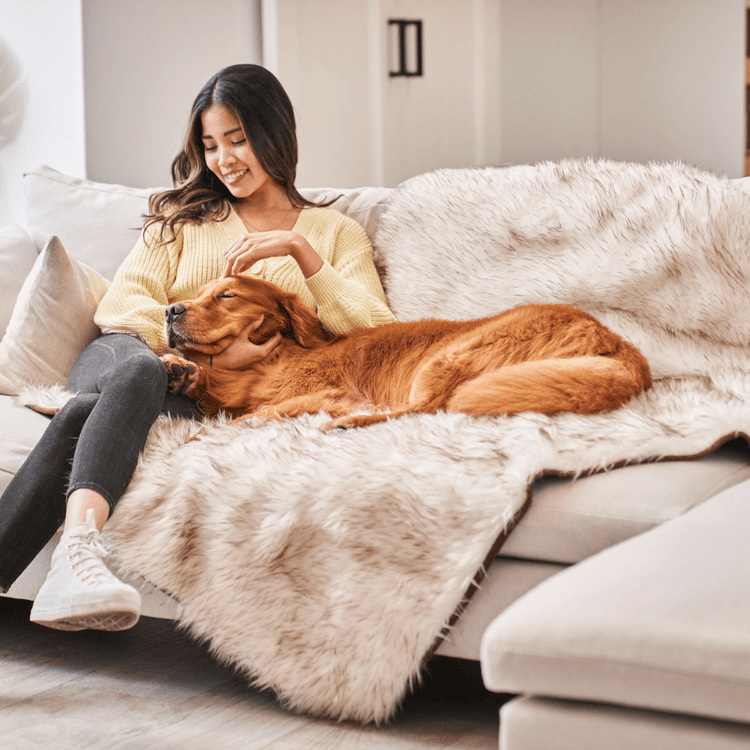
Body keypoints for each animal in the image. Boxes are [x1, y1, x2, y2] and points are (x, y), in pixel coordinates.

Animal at [163, 274, 652, 428]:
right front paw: (179, 369)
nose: (170, 310)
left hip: (446, 358)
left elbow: (251, 414)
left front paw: (203, 435)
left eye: (227, 295)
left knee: (429, 407)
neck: (272, 360)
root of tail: (619, 344)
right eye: (197, 293)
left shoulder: (326, 393)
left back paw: (350, 424)